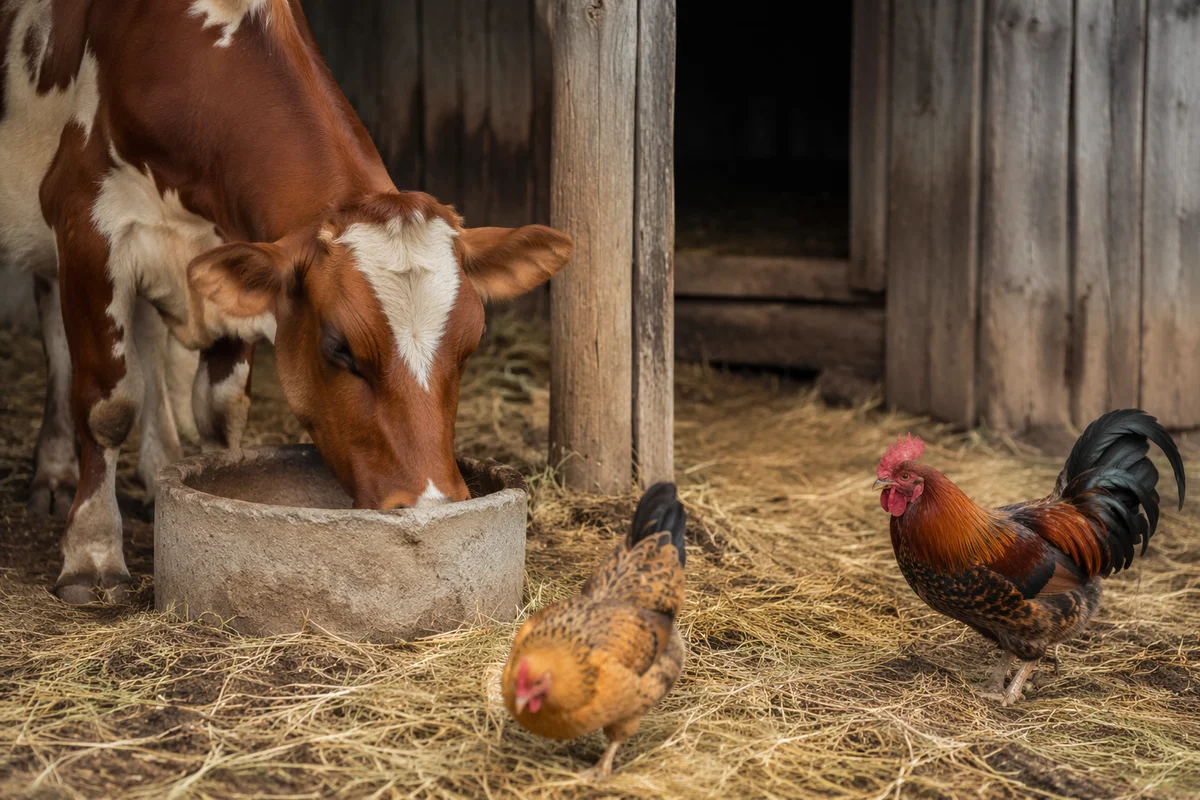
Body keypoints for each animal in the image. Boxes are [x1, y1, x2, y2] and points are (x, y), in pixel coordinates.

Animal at [0, 0, 572, 604]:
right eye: (341, 349)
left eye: (469, 348)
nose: (430, 503)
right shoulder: (85, 224)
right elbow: (107, 407)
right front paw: (91, 554)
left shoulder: (223, 260)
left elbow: (221, 408)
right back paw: (56, 472)